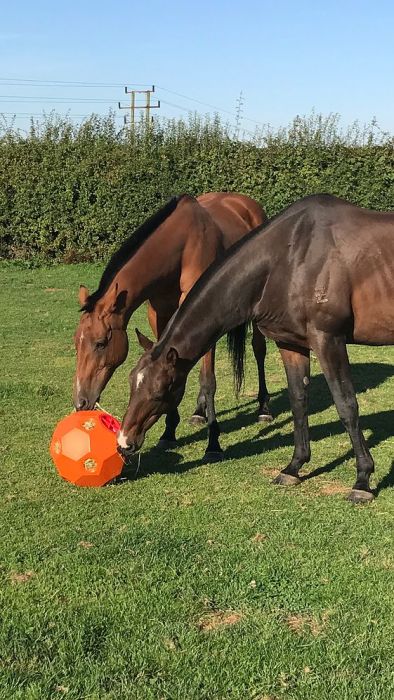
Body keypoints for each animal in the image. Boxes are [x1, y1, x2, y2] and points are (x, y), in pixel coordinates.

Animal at [73, 194, 270, 462]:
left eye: (101, 343)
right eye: (76, 343)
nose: (80, 402)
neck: (179, 246)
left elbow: (208, 379)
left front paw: (213, 443)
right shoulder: (158, 313)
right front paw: (169, 431)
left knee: (259, 350)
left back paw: (263, 408)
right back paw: (198, 411)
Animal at [118, 193, 394, 504]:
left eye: (160, 391)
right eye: (132, 383)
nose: (124, 443)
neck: (290, 258)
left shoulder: (328, 340)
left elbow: (346, 405)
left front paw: (363, 480)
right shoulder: (290, 343)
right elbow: (298, 402)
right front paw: (294, 467)